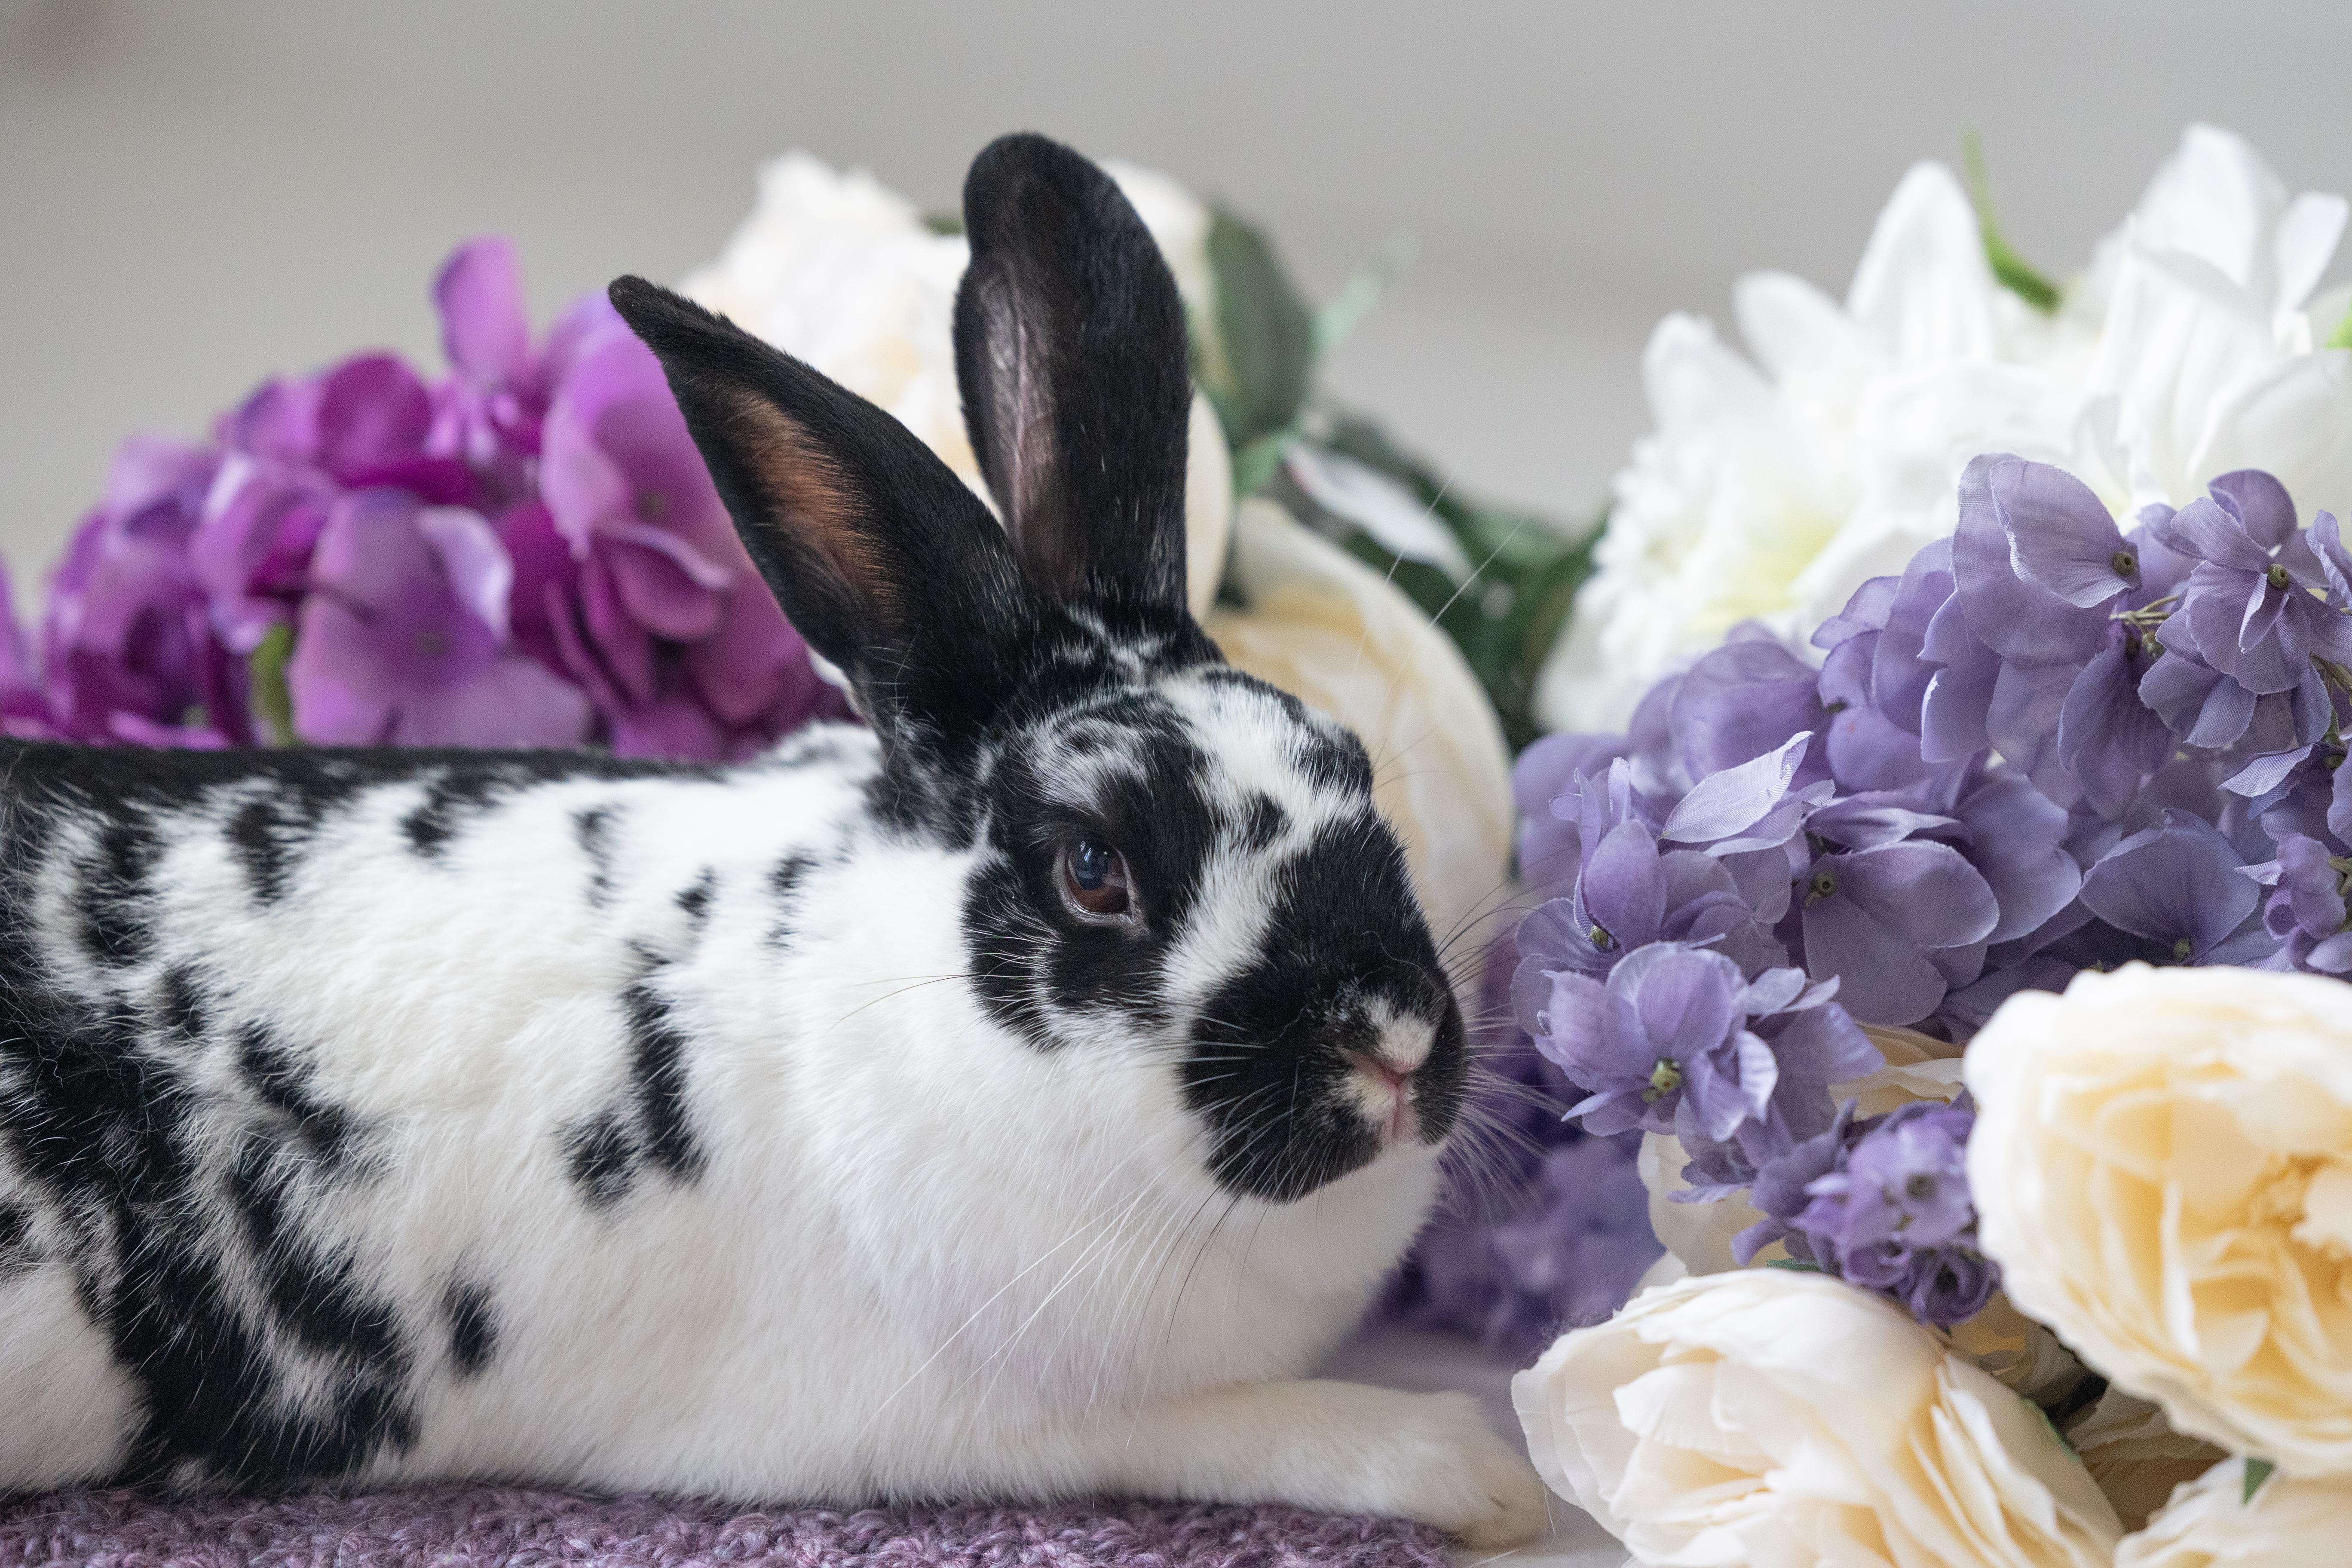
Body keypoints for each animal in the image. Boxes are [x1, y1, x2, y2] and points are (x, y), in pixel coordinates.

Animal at [0, 133, 1545, 1546]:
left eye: (1348, 759)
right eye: (1094, 870)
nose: (1392, 1038)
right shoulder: (1002, 1423)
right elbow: (1263, 1426)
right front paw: (1484, 1473)